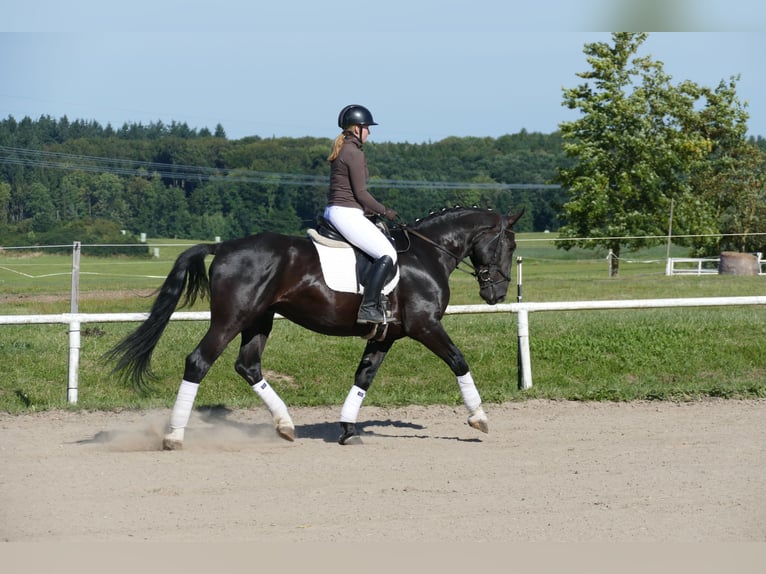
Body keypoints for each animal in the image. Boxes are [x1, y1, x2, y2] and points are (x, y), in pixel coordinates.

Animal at [105, 206, 524, 448]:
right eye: (510, 244)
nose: (498, 293)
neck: (426, 253)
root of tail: (223, 247)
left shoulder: (386, 335)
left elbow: (364, 377)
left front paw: (347, 429)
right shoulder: (425, 326)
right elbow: (459, 361)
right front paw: (479, 418)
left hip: (259, 321)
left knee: (248, 365)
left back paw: (286, 425)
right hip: (231, 319)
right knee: (198, 362)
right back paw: (174, 436)